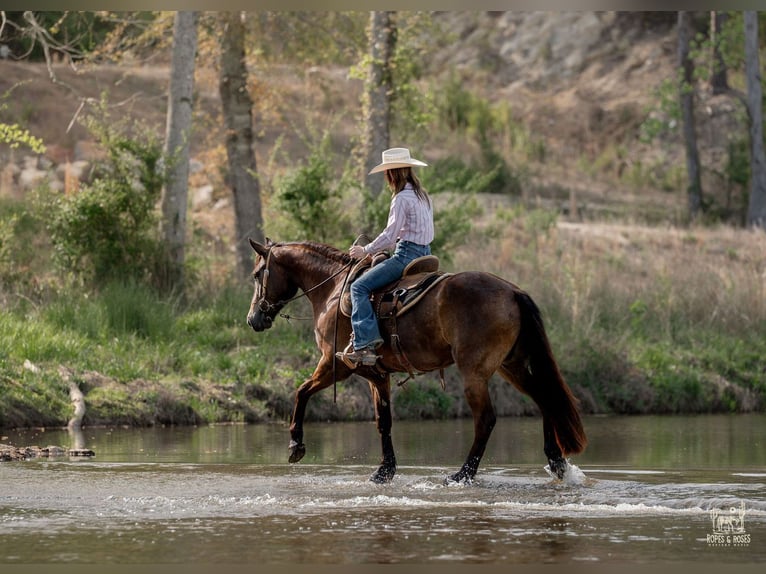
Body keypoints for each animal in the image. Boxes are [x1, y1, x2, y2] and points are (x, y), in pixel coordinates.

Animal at [246, 238, 586, 484]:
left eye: (257, 274)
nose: (253, 319)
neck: (332, 288)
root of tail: (513, 292)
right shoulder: (377, 375)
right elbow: (383, 421)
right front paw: (384, 471)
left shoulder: (335, 365)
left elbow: (301, 391)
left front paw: (296, 446)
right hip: (510, 367)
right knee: (545, 399)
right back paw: (557, 462)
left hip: (475, 373)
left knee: (487, 419)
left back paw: (463, 474)